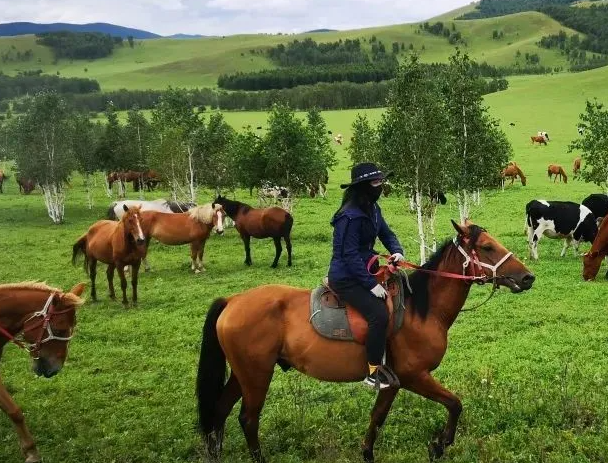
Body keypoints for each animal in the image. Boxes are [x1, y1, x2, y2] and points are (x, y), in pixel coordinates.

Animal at [197, 219, 536, 462]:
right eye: (487, 247)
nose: (527, 277)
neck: (422, 310)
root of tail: (233, 300)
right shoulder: (414, 376)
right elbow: (455, 404)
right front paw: (440, 444)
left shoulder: (393, 382)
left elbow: (377, 417)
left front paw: (368, 452)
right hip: (257, 374)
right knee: (248, 418)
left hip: (244, 374)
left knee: (219, 411)